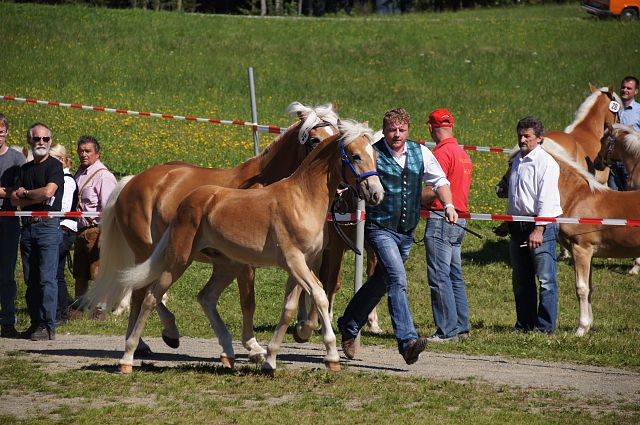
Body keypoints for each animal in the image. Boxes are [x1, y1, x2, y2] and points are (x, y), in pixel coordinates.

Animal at [112, 119, 382, 372]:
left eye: (375, 155)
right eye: (355, 155)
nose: (376, 193)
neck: (302, 198)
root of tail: (186, 200)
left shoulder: (302, 264)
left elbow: (289, 308)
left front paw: (270, 358)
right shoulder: (293, 261)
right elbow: (319, 295)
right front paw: (331, 356)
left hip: (226, 265)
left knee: (205, 297)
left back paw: (228, 353)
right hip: (178, 260)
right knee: (149, 296)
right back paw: (131, 355)